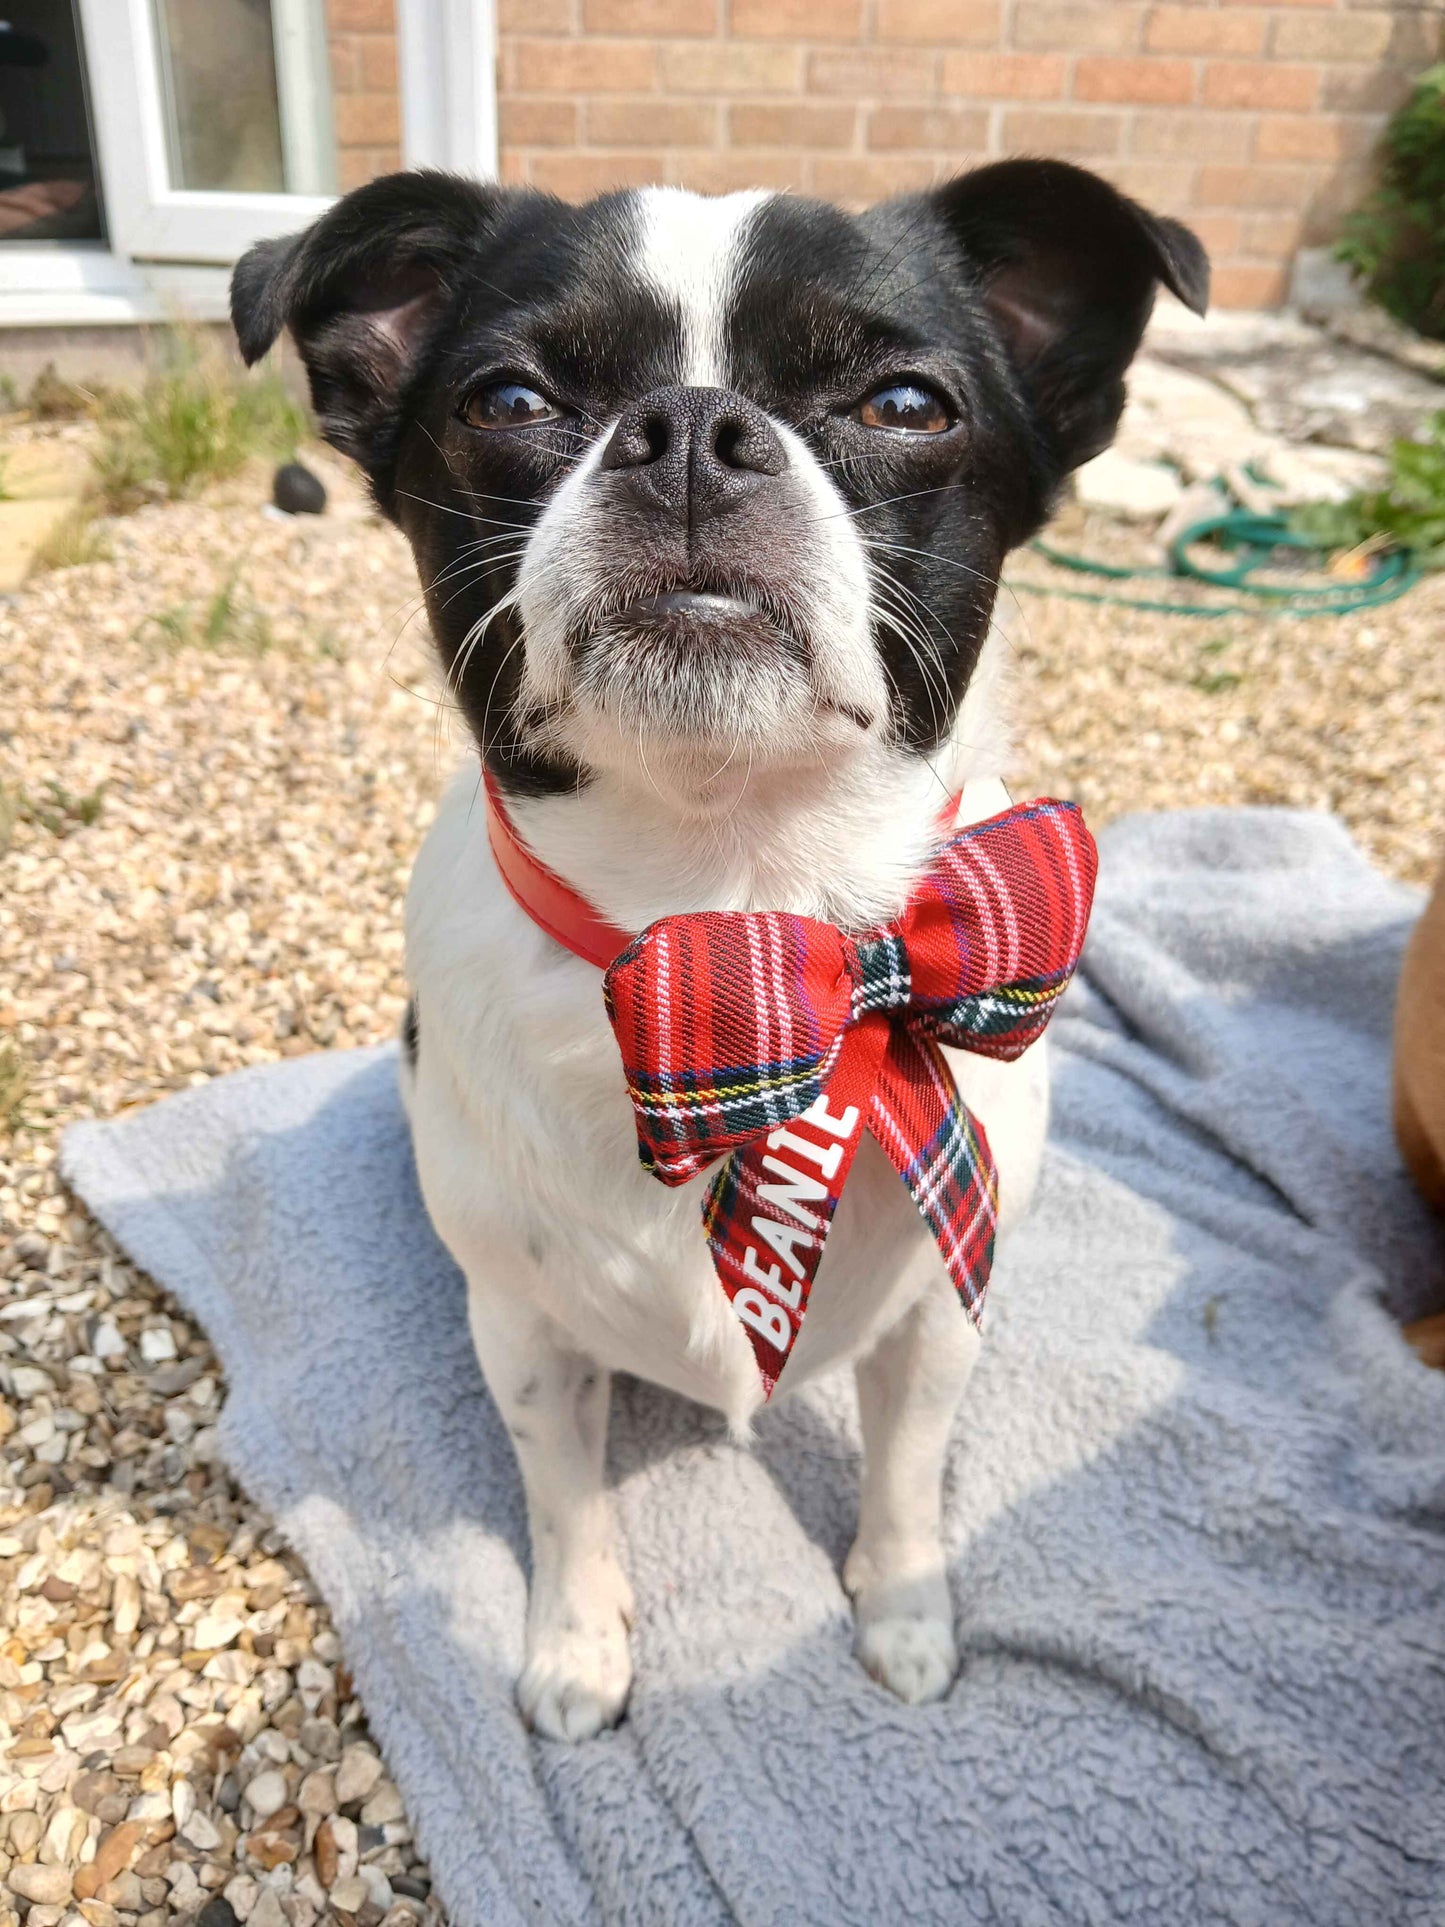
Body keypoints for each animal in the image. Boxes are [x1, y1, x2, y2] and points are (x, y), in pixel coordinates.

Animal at [235, 158, 1209, 1742]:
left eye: (905, 403)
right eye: (508, 399)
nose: (689, 428)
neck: (735, 928)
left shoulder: (937, 1316)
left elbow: (907, 1471)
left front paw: (905, 1611)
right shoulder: (525, 1330)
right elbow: (563, 1494)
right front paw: (576, 1647)